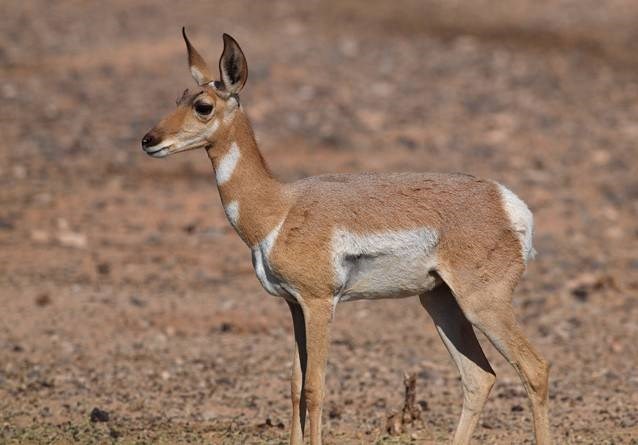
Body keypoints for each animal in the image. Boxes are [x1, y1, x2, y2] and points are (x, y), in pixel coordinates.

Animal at [142, 29, 552, 442]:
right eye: (179, 97)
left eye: (203, 106)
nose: (148, 140)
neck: (280, 206)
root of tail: (505, 201)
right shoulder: (294, 306)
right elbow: (294, 386)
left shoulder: (320, 303)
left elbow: (314, 388)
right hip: (440, 302)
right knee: (479, 377)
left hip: (482, 304)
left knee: (534, 368)